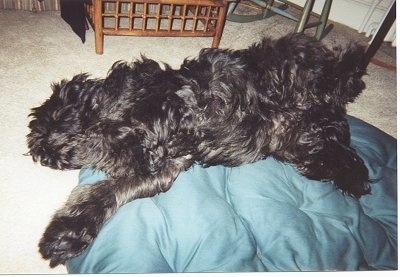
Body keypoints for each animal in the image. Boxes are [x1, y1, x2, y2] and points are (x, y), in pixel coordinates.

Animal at [27, 33, 372, 266]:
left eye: (52, 124)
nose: (38, 148)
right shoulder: (157, 168)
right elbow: (102, 194)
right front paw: (67, 234)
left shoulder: (160, 122)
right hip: (302, 146)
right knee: (335, 149)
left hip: (297, 82)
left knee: (335, 77)